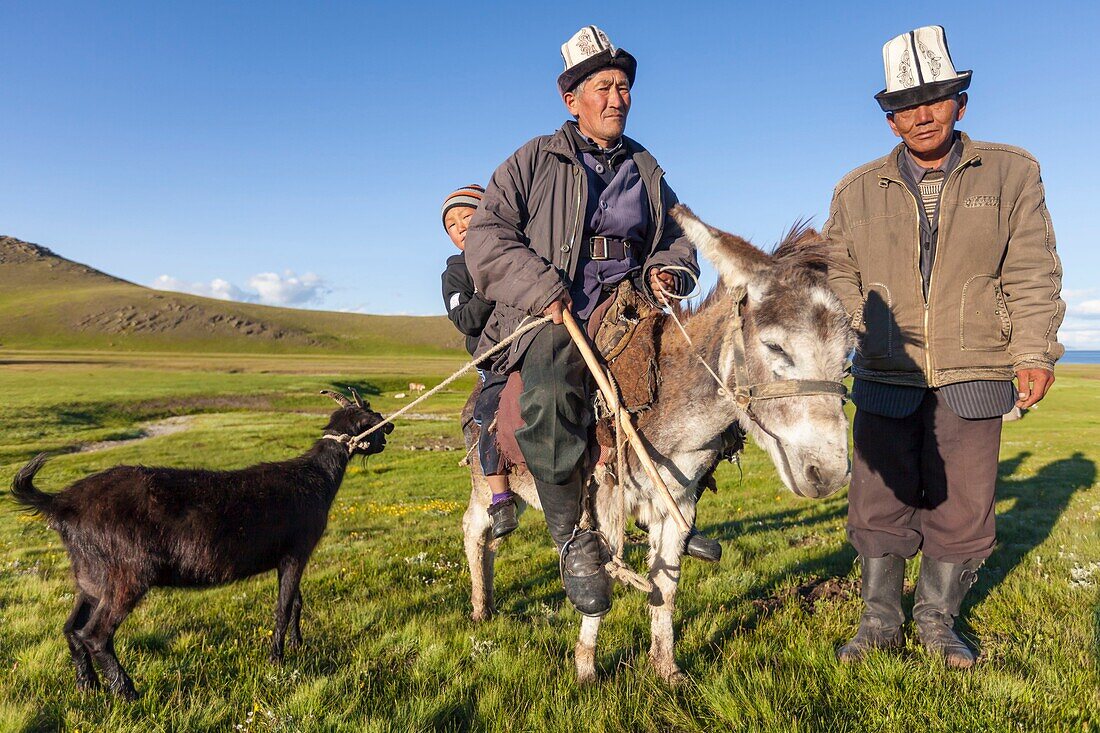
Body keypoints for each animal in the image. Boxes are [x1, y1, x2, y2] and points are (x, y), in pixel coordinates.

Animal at [8, 385, 393, 699]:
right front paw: (276, 660)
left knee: (71, 629)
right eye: (369, 417)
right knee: (95, 634)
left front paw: (298, 646)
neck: (315, 478)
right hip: (128, 572)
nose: (388, 429)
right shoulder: (296, 551)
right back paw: (127, 692)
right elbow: (283, 607)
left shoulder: (289, 556)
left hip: (89, 575)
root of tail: (62, 503)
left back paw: (88, 687)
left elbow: (296, 601)